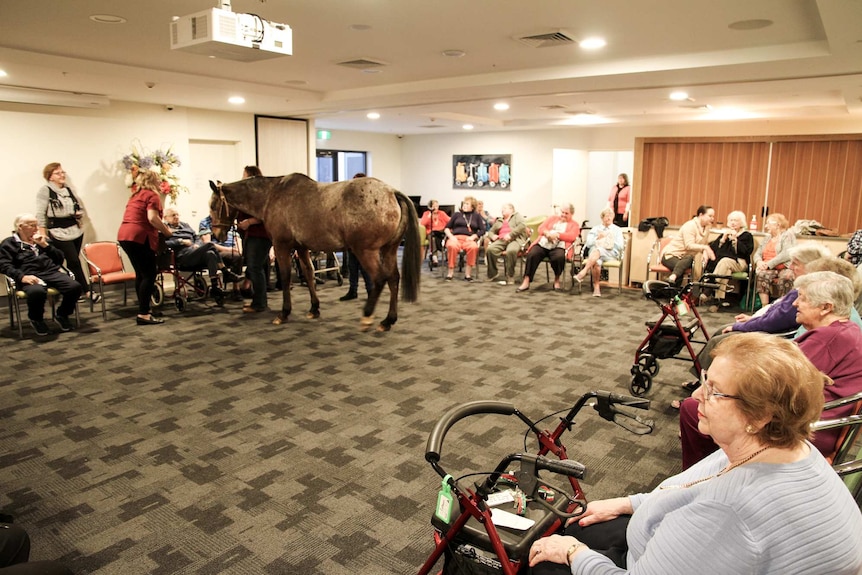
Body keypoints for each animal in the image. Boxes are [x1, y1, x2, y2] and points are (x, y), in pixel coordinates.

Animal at [211, 173, 424, 330]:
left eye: (213, 205)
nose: (217, 234)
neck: (273, 195)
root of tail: (392, 193)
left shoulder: (281, 246)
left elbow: (286, 277)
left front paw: (284, 313)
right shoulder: (301, 247)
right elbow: (309, 273)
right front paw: (314, 308)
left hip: (366, 251)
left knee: (380, 279)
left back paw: (367, 316)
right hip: (388, 249)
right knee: (393, 278)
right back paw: (388, 320)